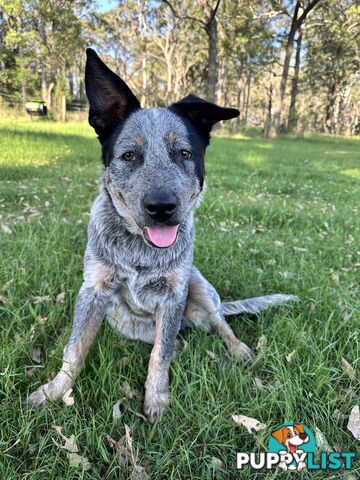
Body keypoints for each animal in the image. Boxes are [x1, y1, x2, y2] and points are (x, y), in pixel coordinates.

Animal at [26, 50, 296, 422]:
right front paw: (54, 391)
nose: (161, 206)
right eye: (129, 155)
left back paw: (237, 348)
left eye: (184, 153)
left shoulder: (173, 296)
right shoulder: (93, 291)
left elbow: (159, 356)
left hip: (197, 285)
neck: (140, 250)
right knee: (173, 340)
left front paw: (157, 399)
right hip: (126, 322)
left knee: (217, 323)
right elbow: (75, 348)